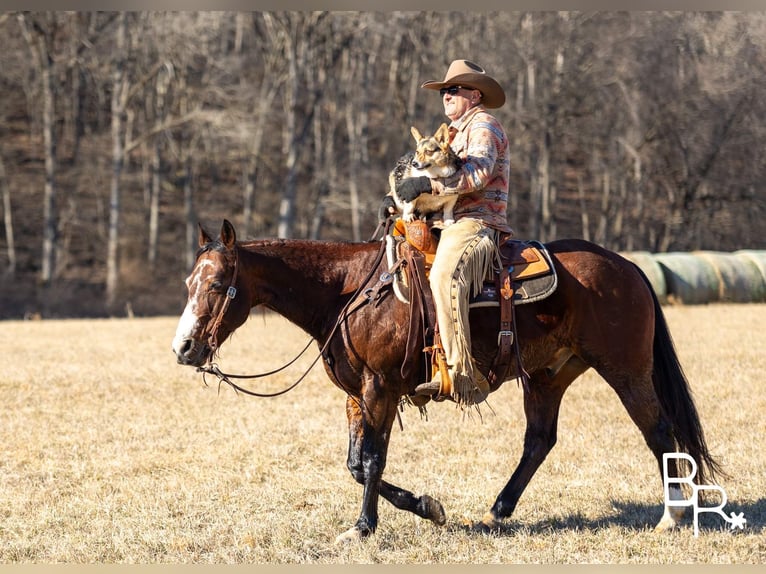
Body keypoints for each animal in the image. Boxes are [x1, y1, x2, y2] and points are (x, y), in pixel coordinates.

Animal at [174, 219, 728, 544]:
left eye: (218, 284)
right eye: (188, 283)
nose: (184, 348)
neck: (348, 292)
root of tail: (629, 266)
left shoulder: (380, 388)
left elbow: (372, 461)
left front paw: (364, 527)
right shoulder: (356, 394)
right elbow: (355, 464)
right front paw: (429, 507)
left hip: (625, 370)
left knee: (658, 431)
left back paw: (672, 515)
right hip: (548, 375)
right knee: (539, 439)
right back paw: (498, 511)